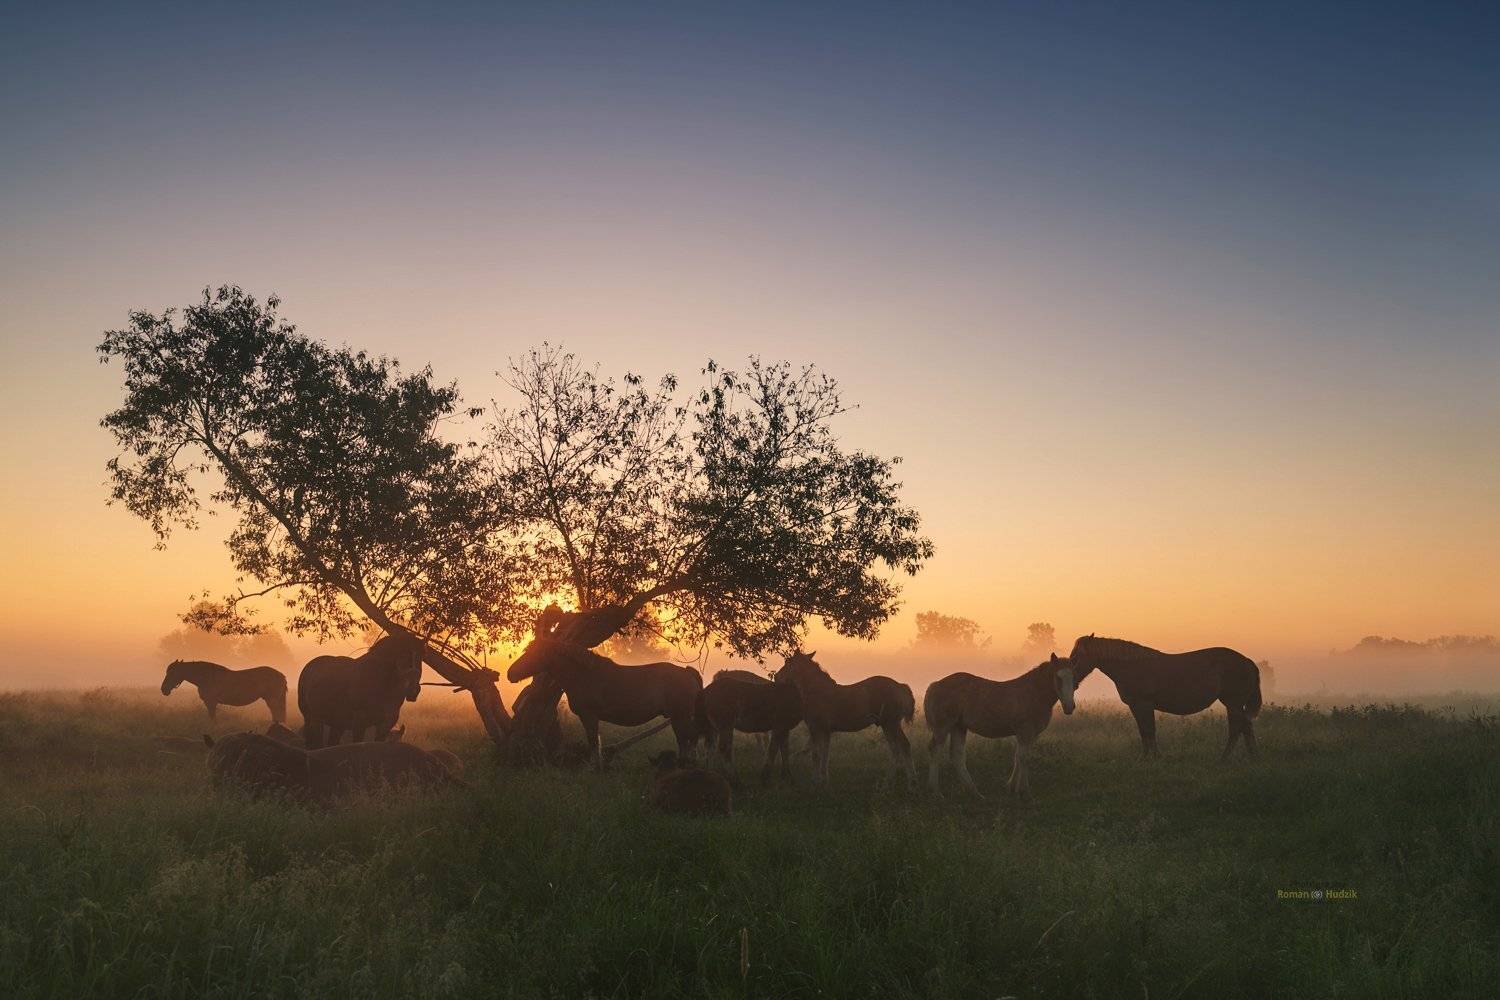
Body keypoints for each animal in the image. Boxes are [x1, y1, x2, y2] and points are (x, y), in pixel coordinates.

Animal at [506, 637, 705, 769]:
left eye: (534, 652)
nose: (510, 673)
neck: (583, 675)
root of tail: (687, 672)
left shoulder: (589, 716)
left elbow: (594, 740)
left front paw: (594, 766)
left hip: (681, 716)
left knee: (689, 739)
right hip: (677, 717)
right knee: (685, 740)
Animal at [773, 651, 915, 789]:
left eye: (788, 662)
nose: (776, 677)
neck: (818, 692)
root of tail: (900, 686)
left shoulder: (815, 728)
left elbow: (816, 755)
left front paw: (816, 781)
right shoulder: (826, 731)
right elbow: (825, 754)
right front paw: (824, 781)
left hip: (892, 724)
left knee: (904, 746)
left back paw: (911, 783)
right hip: (887, 726)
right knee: (895, 750)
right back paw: (888, 783)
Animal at [924, 653, 1077, 798]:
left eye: (1074, 678)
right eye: (1058, 677)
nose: (1069, 707)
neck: (1033, 694)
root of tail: (935, 685)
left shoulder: (1029, 734)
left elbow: (1018, 757)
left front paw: (1013, 789)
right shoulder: (1025, 731)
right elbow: (1023, 758)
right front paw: (1025, 792)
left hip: (959, 727)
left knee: (957, 755)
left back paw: (975, 793)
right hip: (943, 727)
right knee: (935, 750)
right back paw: (936, 791)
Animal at [1068, 634, 1262, 759]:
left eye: (1076, 656)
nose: (1072, 681)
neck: (1133, 667)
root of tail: (1247, 661)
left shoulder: (1144, 705)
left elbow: (1149, 730)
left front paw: (1154, 757)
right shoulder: (1136, 706)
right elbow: (1143, 731)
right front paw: (1146, 757)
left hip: (1233, 704)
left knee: (1237, 728)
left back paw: (1225, 758)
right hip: (1236, 705)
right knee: (1246, 726)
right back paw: (1252, 755)